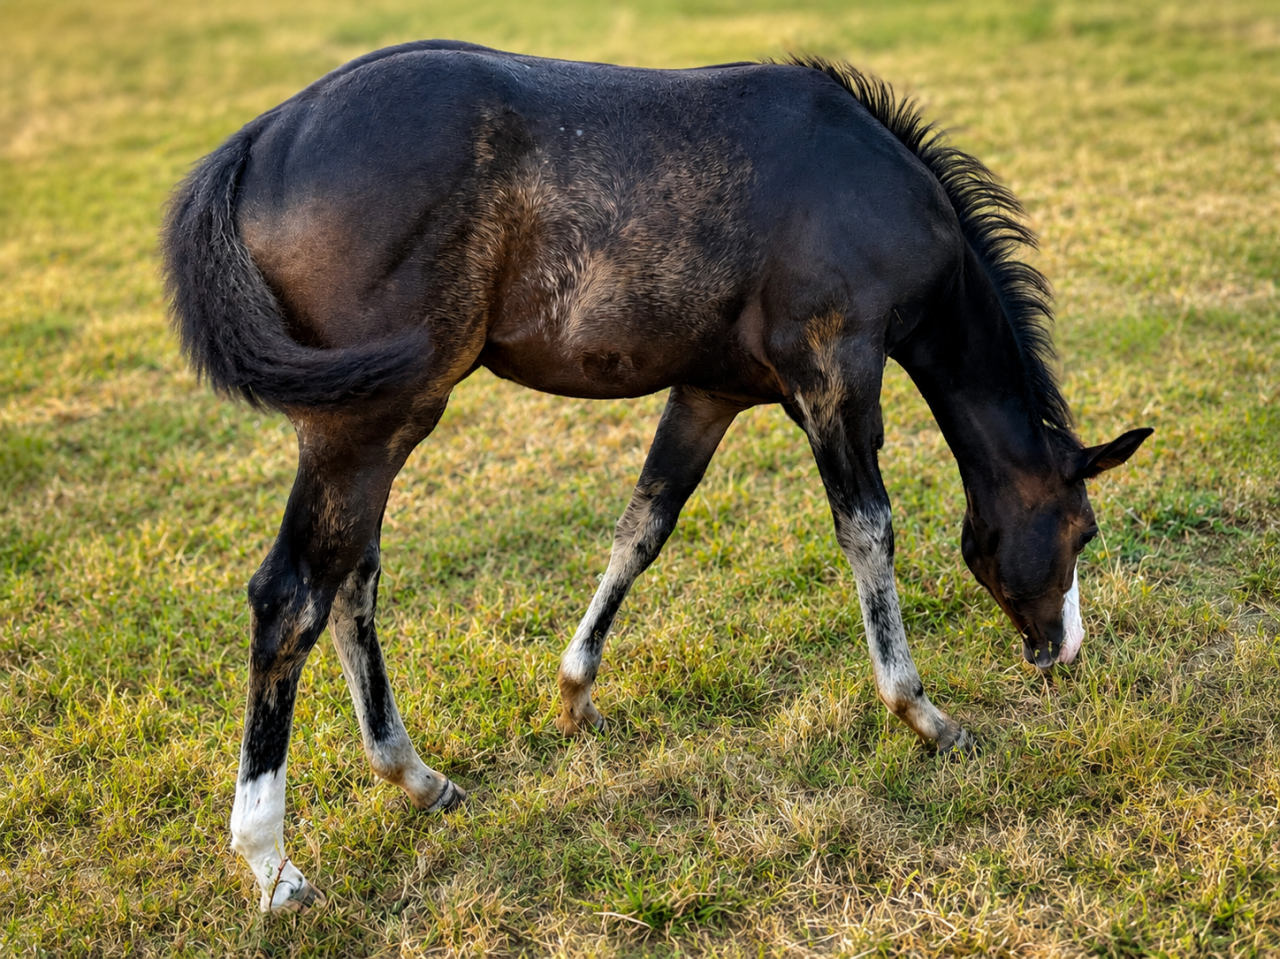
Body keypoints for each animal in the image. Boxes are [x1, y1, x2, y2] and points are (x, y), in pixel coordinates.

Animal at [162, 40, 1152, 912]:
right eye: (1084, 529)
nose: (1061, 650)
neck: (871, 179)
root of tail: (266, 135)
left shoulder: (709, 392)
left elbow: (644, 526)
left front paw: (577, 693)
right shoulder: (837, 375)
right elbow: (868, 532)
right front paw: (922, 713)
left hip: (381, 422)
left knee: (351, 579)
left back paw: (416, 776)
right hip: (367, 422)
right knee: (293, 595)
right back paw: (271, 863)